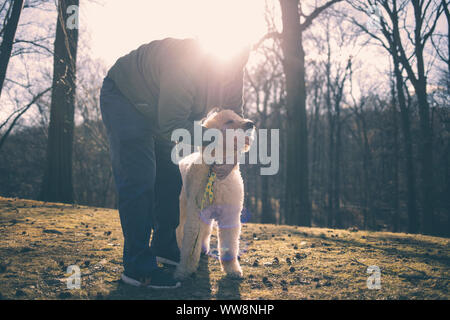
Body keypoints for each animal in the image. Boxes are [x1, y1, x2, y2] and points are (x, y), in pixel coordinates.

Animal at [174, 110, 255, 280]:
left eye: (239, 116)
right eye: (229, 121)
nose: (251, 124)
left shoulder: (230, 215)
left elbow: (230, 244)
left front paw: (232, 270)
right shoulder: (195, 214)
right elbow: (190, 242)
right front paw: (184, 270)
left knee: (204, 232)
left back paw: (203, 248)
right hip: (182, 209)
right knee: (179, 230)